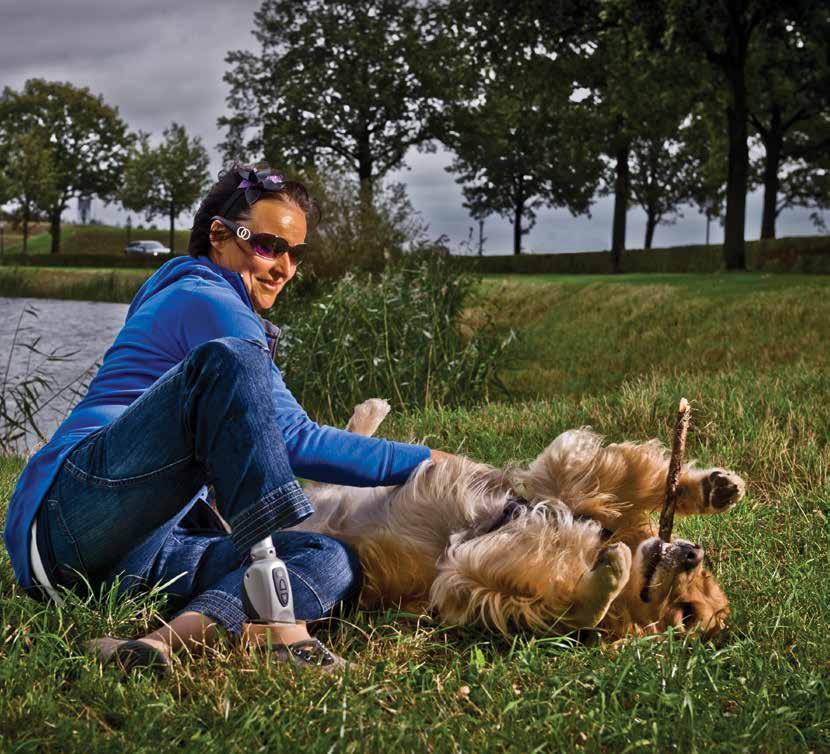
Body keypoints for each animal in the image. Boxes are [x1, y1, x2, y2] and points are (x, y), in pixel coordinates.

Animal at [300, 396, 748, 636]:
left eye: (686, 616)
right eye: (703, 572)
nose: (694, 553)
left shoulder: (468, 581)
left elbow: (576, 608)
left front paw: (605, 582)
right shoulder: (555, 485)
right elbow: (632, 479)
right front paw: (711, 489)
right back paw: (371, 410)